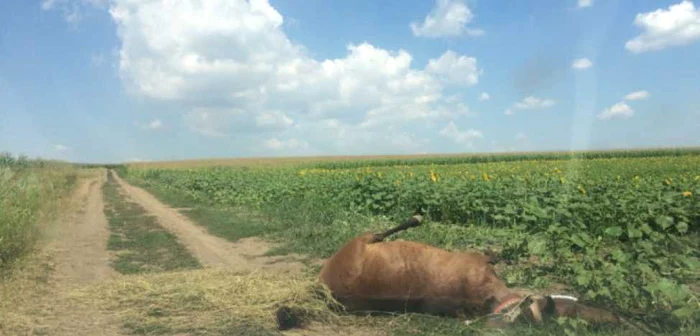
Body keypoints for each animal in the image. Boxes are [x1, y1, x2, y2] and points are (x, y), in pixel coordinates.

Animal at [278, 213, 636, 330]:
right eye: (573, 308)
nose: (617, 319)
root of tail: (323, 286)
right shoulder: (479, 261)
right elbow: (494, 254)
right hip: (362, 239)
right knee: (383, 231)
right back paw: (414, 218)